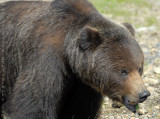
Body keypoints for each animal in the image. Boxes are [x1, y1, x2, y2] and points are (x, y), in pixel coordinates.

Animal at [0, 0, 150, 119]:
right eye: (123, 70)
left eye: (139, 68)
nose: (143, 94)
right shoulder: (45, 57)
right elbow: (34, 101)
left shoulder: (82, 84)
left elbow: (80, 109)